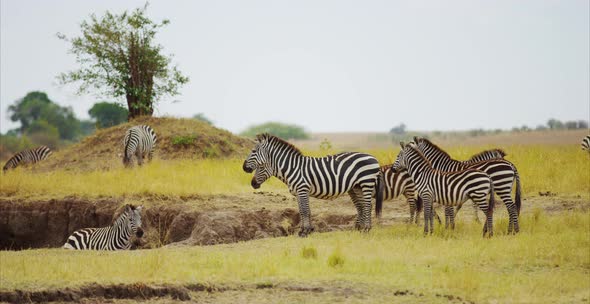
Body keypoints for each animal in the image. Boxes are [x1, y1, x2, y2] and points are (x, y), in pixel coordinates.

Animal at [244, 134, 386, 238]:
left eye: (253, 151)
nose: (244, 168)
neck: (292, 168)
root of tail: (374, 158)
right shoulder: (298, 192)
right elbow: (302, 211)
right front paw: (305, 230)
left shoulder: (302, 189)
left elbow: (305, 211)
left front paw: (305, 232)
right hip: (357, 187)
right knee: (363, 206)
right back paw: (360, 229)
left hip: (366, 183)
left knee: (367, 205)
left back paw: (366, 229)